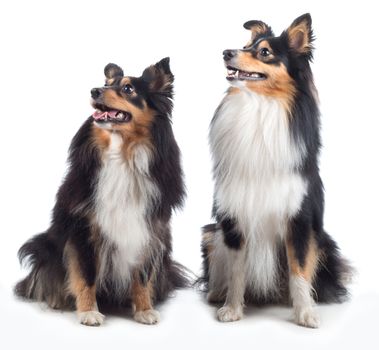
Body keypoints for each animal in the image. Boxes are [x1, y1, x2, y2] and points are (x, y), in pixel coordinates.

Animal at [15, 56, 189, 326]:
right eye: (106, 83)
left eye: (128, 88)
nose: (94, 91)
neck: (122, 154)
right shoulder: (83, 230)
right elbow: (85, 275)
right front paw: (88, 312)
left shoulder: (148, 229)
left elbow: (142, 276)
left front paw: (144, 309)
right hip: (44, 245)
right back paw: (55, 299)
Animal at [202, 14, 354, 328]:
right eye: (246, 45)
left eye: (264, 52)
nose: (226, 52)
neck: (260, 105)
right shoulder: (234, 216)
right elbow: (236, 270)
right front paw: (232, 308)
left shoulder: (298, 219)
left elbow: (299, 270)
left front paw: (305, 313)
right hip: (211, 233)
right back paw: (216, 293)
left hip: (322, 241)